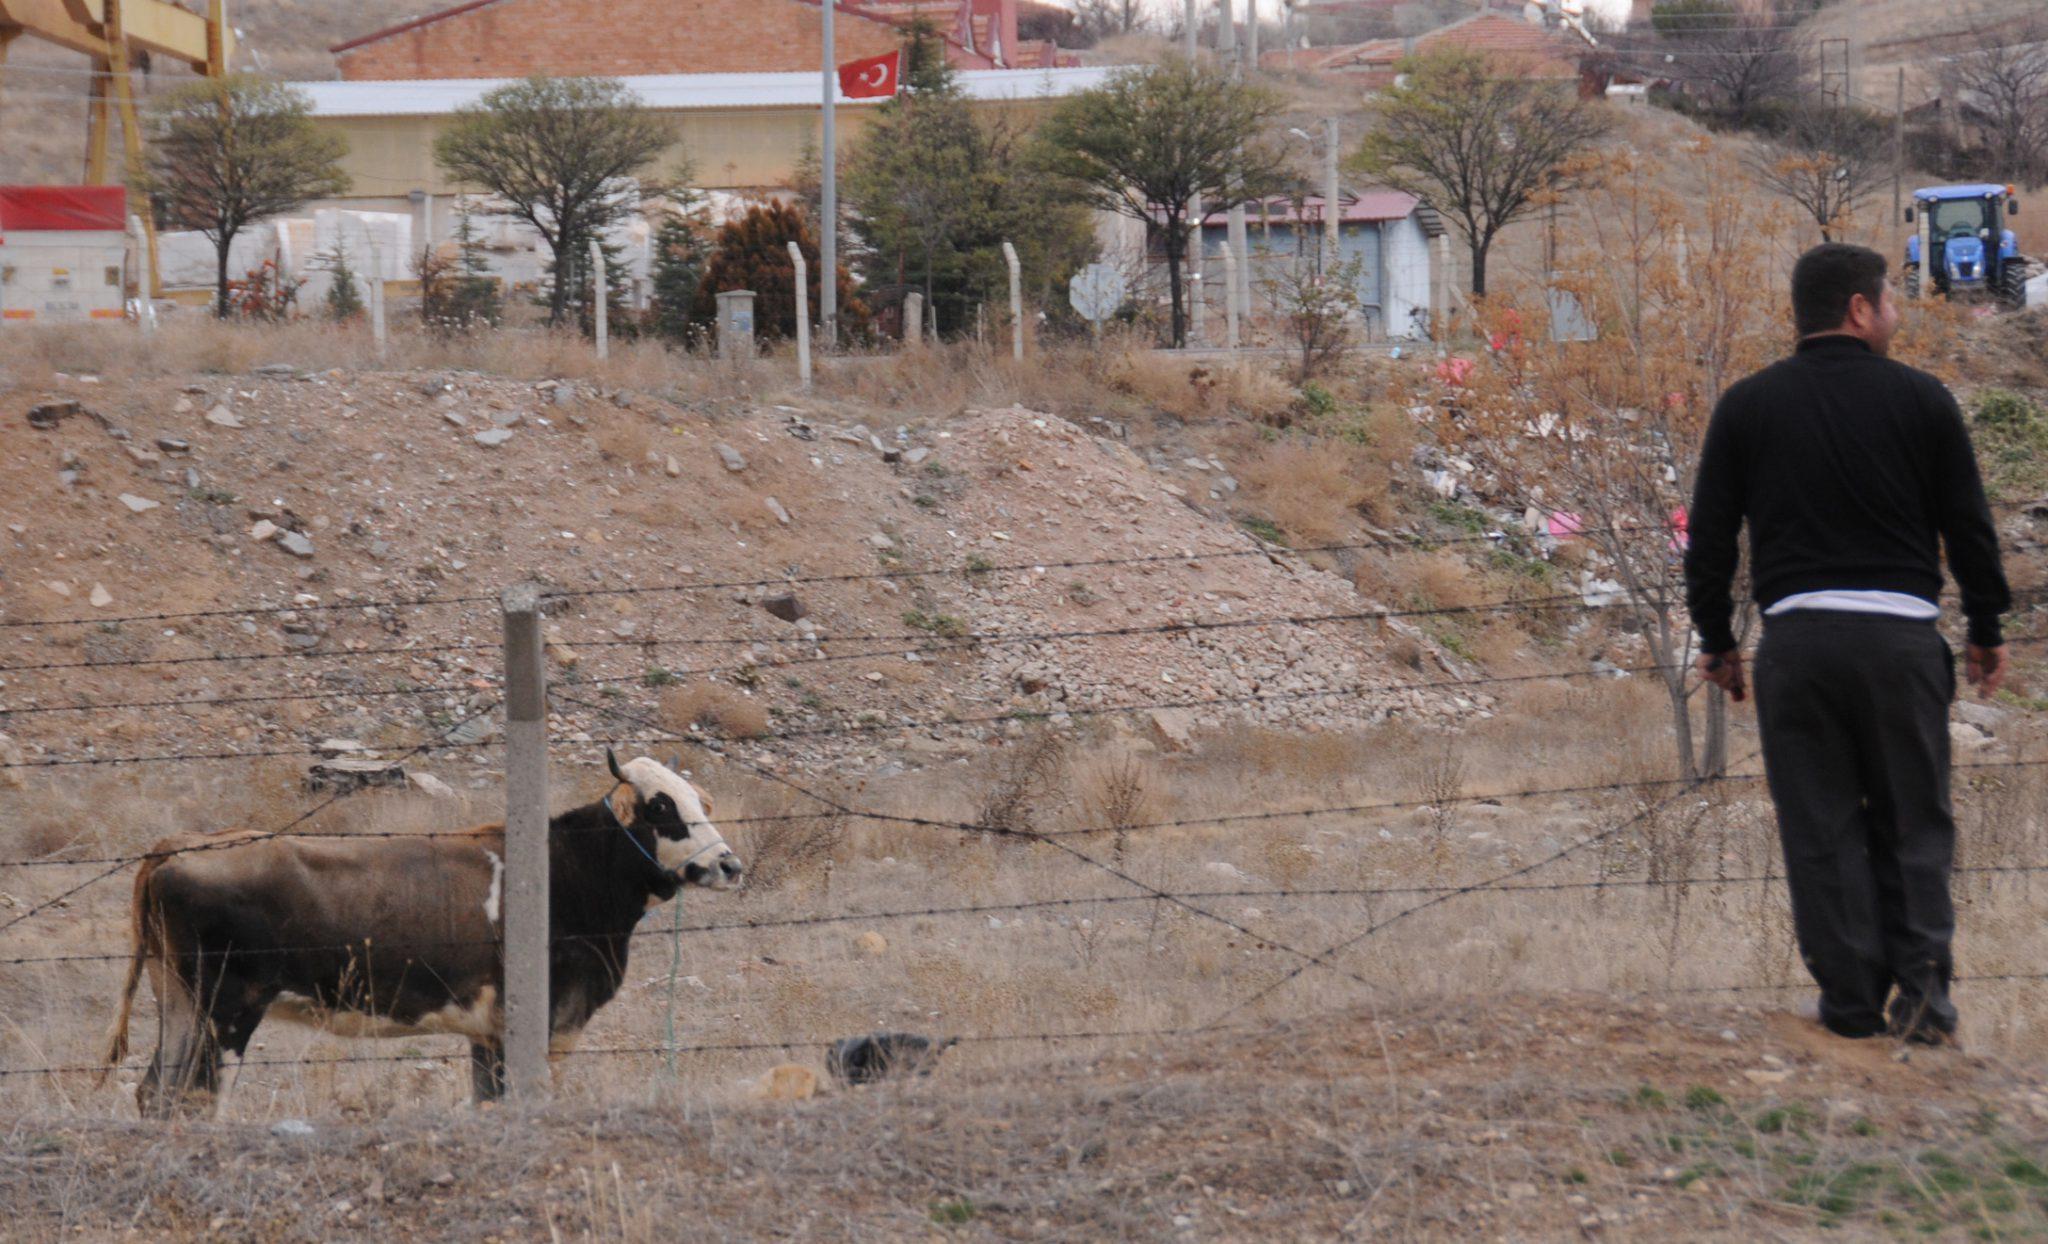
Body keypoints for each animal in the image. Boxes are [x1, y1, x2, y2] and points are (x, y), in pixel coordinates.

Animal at [103, 750, 745, 1123]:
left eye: (700, 801)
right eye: (662, 807)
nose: (730, 865)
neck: (567, 871)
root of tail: (180, 844)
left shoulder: (488, 1032)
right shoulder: (545, 1024)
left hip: (179, 1003)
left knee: (156, 1095)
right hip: (227, 1011)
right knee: (197, 1100)